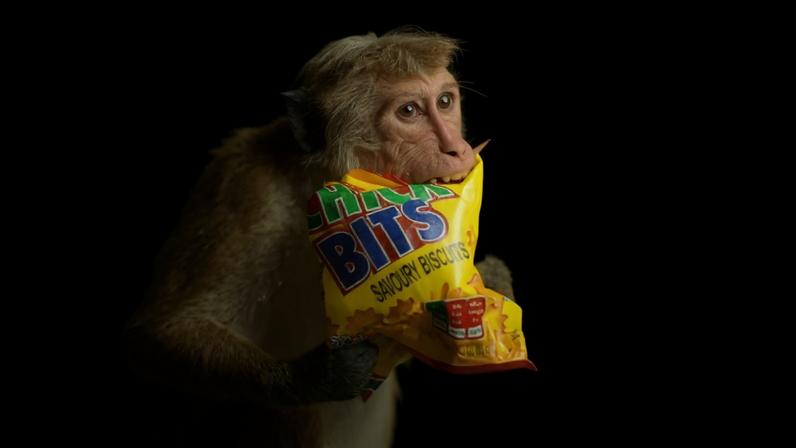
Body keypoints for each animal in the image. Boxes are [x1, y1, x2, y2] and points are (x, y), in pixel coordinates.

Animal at [125, 29, 515, 448]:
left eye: (444, 102)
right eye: (409, 112)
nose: (456, 148)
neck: (323, 187)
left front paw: (488, 288)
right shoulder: (243, 190)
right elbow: (164, 333)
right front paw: (317, 376)